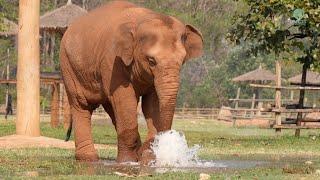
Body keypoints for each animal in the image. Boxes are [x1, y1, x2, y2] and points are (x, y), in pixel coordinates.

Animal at [60, 0, 202, 163]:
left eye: (183, 60)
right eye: (151, 61)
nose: (158, 146)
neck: (142, 20)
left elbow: (152, 104)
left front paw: (145, 157)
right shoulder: (112, 60)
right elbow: (125, 99)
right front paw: (128, 161)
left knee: (112, 108)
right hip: (69, 66)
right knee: (82, 105)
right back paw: (89, 158)